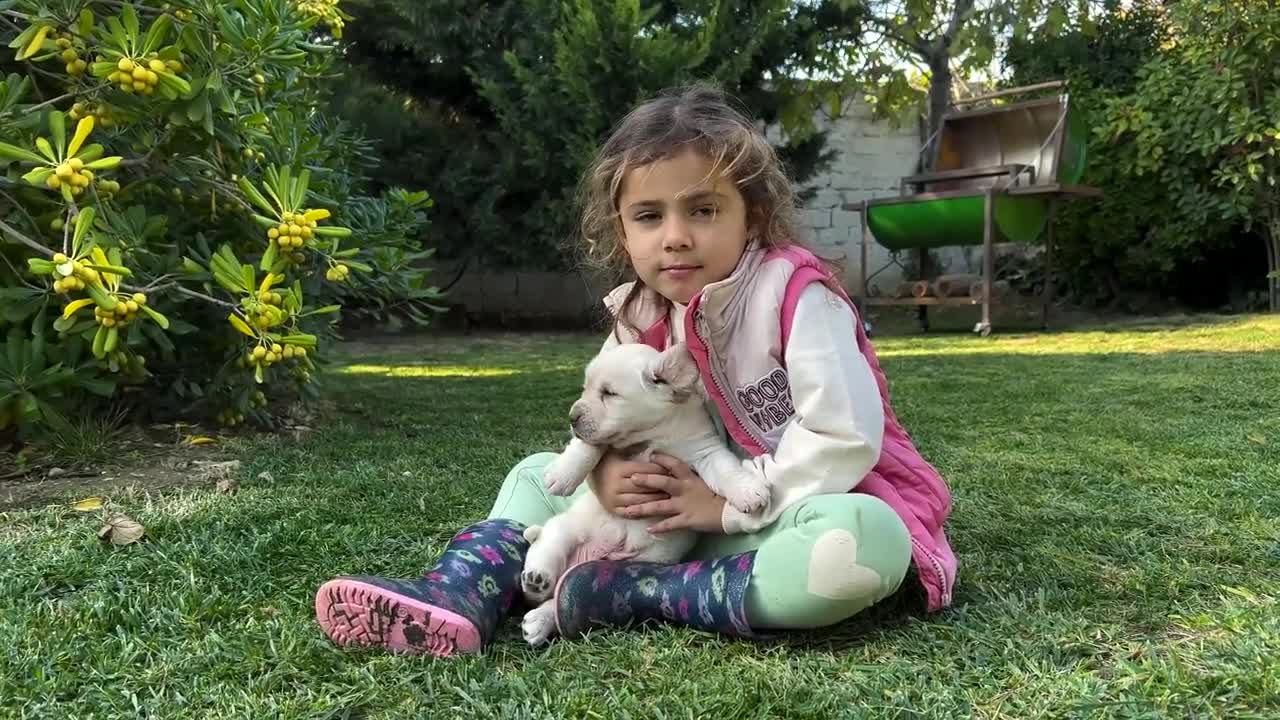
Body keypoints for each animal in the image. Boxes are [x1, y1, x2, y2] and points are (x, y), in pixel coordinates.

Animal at [519, 340, 768, 645]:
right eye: (585, 389)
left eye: (609, 393)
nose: (571, 418)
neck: (653, 434)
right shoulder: (607, 442)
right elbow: (589, 445)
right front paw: (562, 473)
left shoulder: (705, 451)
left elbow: (726, 469)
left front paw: (749, 492)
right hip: (564, 530)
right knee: (544, 553)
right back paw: (536, 579)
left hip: (642, 561)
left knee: (556, 596)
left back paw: (542, 620)